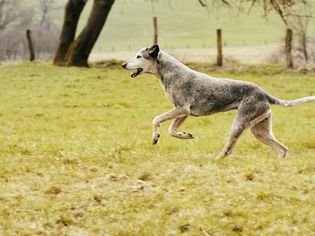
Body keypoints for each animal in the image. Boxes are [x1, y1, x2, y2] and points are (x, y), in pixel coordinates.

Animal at [122, 44, 315, 159]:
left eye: (139, 56)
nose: (123, 65)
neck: (168, 72)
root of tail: (264, 94)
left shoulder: (181, 109)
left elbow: (156, 120)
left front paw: (155, 137)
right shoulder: (183, 112)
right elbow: (172, 130)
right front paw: (185, 135)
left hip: (239, 124)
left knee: (228, 149)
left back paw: (215, 160)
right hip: (259, 130)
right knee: (283, 149)